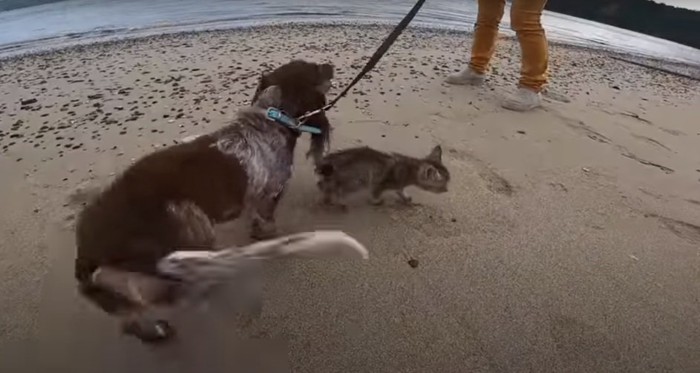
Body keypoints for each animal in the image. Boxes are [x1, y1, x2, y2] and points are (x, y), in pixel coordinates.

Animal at [316, 145, 452, 209]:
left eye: (448, 181)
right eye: (441, 186)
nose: (447, 190)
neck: (410, 169)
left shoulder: (398, 183)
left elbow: (400, 190)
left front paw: (405, 197)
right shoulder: (380, 182)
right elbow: (376, 192)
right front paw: (376, 201)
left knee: (324, 184)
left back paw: (326, 198)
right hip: (358, 179)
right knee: (338, 189)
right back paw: (339, 201)